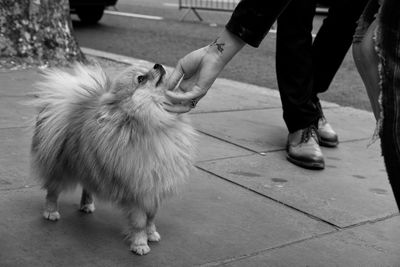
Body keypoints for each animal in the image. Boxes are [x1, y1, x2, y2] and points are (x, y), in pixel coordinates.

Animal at [32, 62, 198, 255]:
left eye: (150, 66)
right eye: (141, 78)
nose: (157, 65)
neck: (155, 121)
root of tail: (71, 107)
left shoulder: (154, 187)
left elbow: (151, 217)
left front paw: (151, 233)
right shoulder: (138, 190)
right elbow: (140, 221)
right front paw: (140, 243)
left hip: (89, 165)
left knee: (87, 185)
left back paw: (87, 204)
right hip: (62, 167)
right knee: (53, 190)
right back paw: (51, 212)